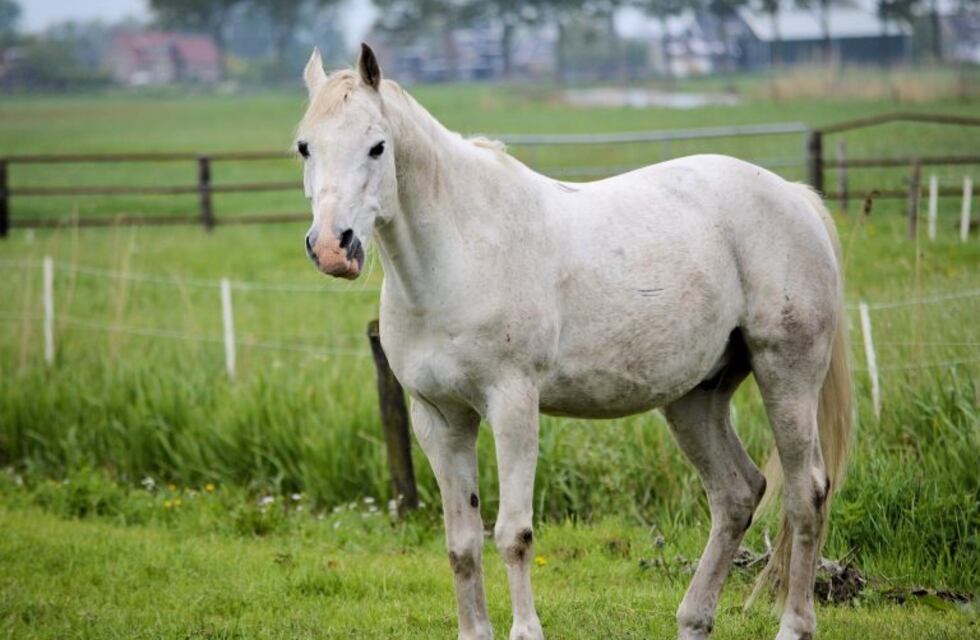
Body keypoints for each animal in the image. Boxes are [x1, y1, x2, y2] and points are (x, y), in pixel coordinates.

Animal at [295, 44, 851, 640]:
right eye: (305, 146)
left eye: (378, 146)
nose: (332, 248)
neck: (459, 253)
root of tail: (793, 197)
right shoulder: (439, 418)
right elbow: (462, 545)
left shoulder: (513, 404)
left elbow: (512, 535)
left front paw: (526, 631)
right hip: (695, 399)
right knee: (737, 494)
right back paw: (693, 619)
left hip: (786, 374)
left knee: (806, 494)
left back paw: (793, 624)